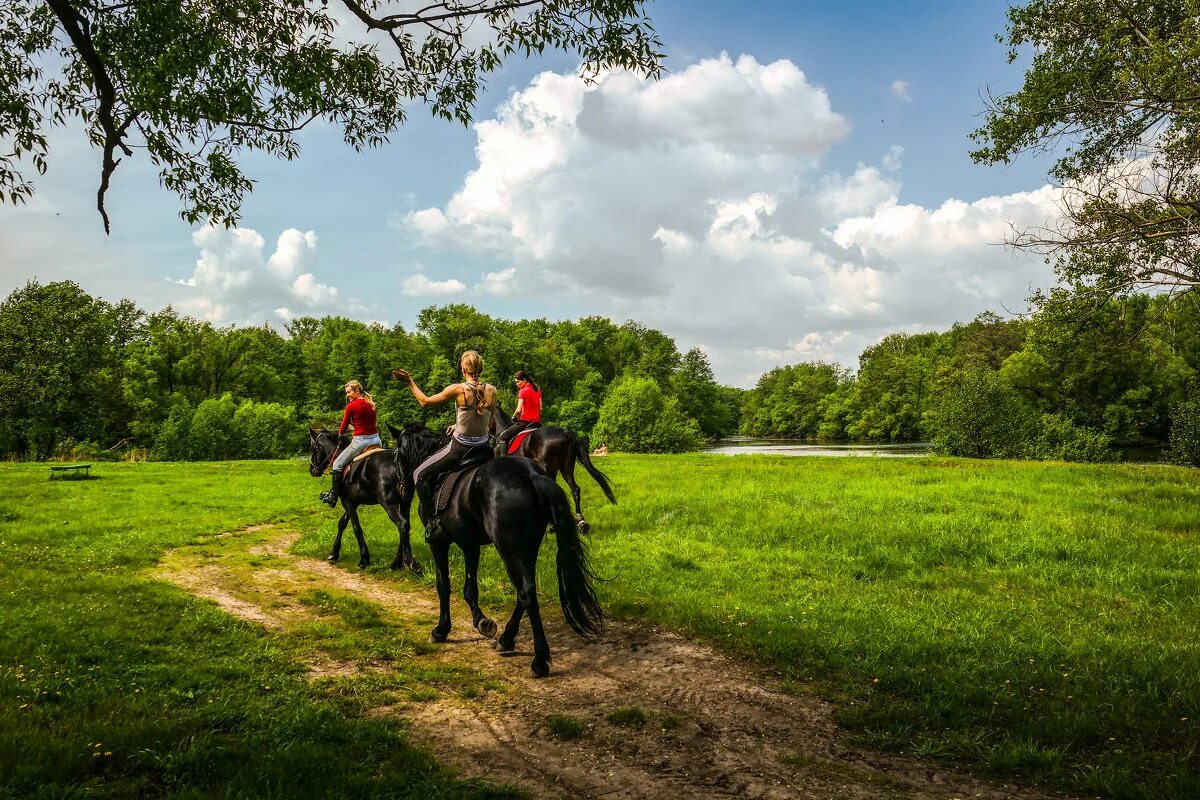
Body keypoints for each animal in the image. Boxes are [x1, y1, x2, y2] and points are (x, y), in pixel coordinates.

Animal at [307, 429, 424, 573]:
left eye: (312, 448)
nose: (312, 470)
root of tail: (398, 465)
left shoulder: (347, 501)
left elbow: (356, 528)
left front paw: (364, 559)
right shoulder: (353, 501)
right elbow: (342, 523)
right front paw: (334, 553)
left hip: (389, 504)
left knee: (402, 523)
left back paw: (409, 562)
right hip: (405, 502)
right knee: (406, 526)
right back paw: (396, 563)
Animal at [388, 422, 604, 681]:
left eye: (395, 454)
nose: (400, 487)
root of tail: (532, 475)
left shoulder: (439, 543)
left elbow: (443, 585)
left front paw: (441, 630)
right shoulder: (469, 543)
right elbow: (470, 588)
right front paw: (482, 622)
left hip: (509, 549)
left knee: (526, 592)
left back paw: (539, 660)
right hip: (527, 546)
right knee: (524, 591)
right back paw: (507, 638)